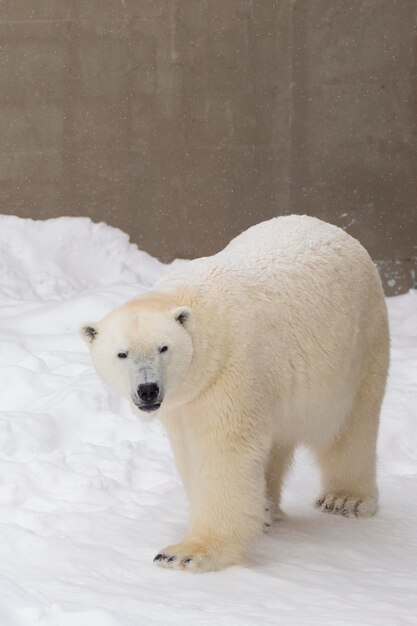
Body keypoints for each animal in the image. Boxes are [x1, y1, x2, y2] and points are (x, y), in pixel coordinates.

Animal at [80, 213, 386, 572]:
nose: (148, 390)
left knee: (353, 426)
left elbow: (222, 451)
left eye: (163, 348)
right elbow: (191, 452)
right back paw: (266, 510)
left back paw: (344, 499)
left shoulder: (228, 374)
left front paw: (185, 553)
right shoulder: (186, 401)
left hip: (360, 345)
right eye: (122, 353)